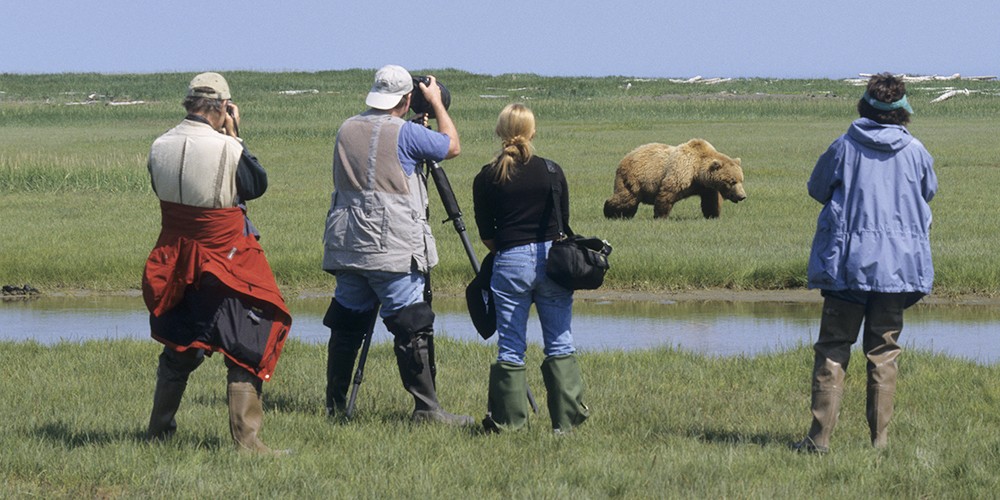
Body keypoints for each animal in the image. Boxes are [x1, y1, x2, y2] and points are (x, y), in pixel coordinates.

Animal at [603, 139, 746, 219]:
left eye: (741, 180)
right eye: (732, 181)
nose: (742, 196)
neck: (698, 172)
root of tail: (626, 156)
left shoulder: (706, 187)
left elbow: (711, 201)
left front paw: (713, 215)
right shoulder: (681, 171)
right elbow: (667, 193)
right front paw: (660, 216)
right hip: (633, 179)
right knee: (626, 199)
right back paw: (610, 212)